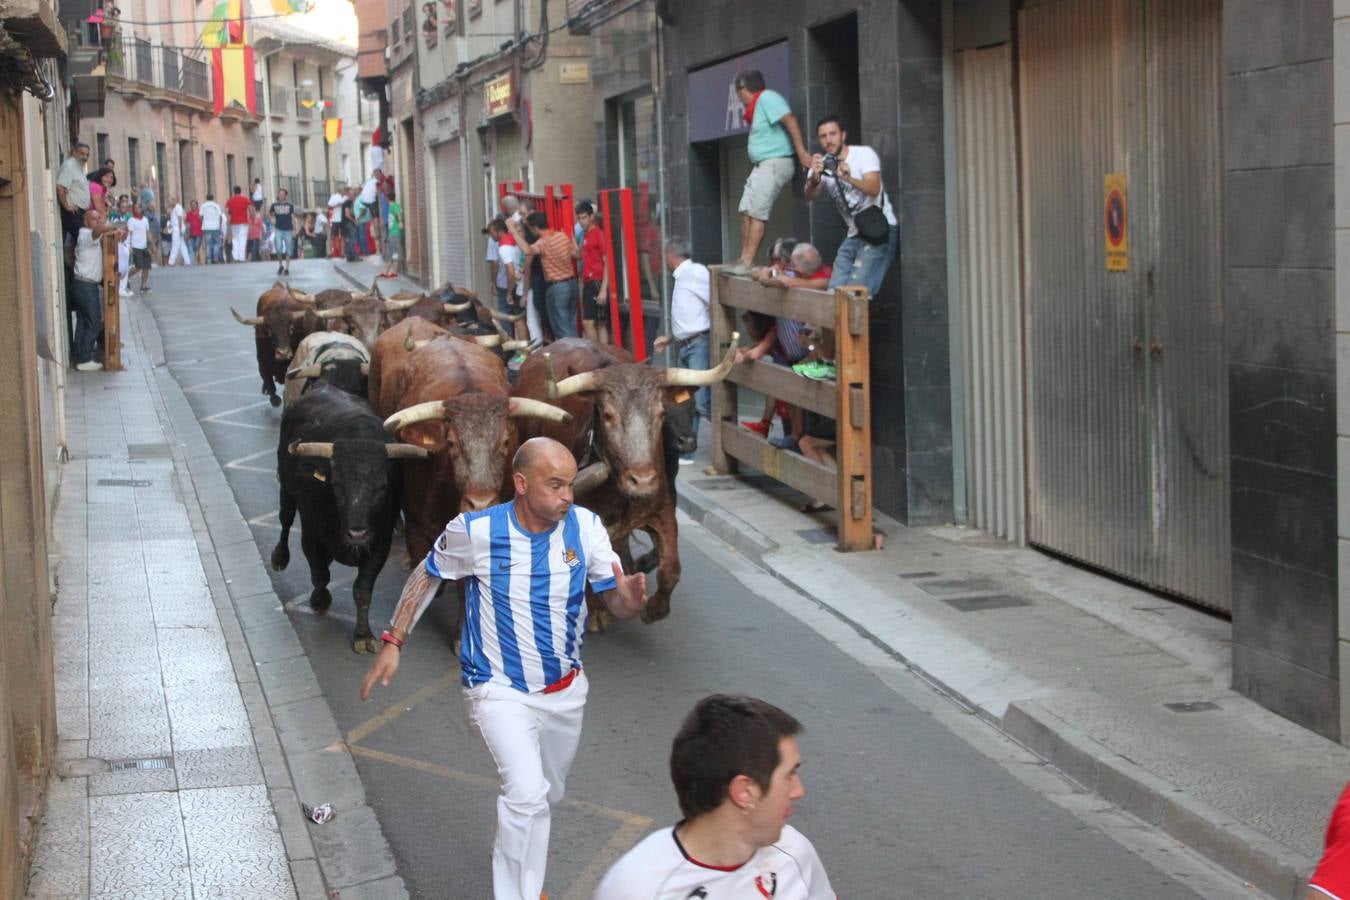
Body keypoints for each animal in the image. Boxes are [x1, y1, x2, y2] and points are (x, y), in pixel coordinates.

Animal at [510, 334, 734, 623]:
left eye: (660, 414)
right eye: (608, 415)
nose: (643, 480)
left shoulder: (662, 510)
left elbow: (671, 568)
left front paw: (653, 608)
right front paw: (596, 611)